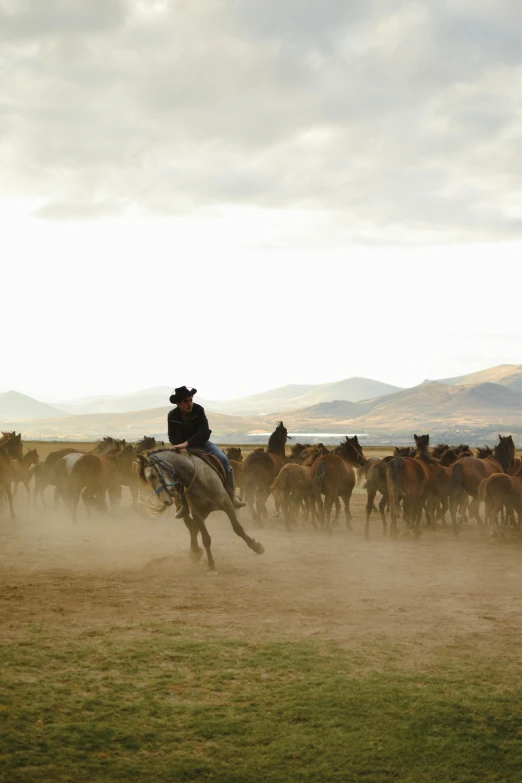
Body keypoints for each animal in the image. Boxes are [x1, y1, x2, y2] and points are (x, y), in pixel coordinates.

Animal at [135, 450, 264, 572]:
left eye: (152, 475)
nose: (165, 501)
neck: (198, 478)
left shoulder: (227, 505)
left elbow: (238, 529)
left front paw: (256, 547)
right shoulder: (197, 513)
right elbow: (206, 539)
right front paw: (211, 566)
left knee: (193, 527)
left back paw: (195, 551)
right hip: (194, 512)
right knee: (191, 527)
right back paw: (195, 552)